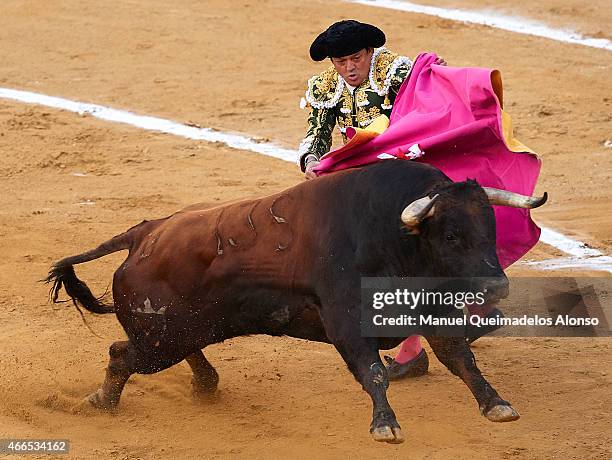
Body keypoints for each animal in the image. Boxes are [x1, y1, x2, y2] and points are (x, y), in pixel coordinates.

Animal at [46, 161, 544, 442]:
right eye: (452, 234)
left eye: (492, 228)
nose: (497, 287)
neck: (392, 235)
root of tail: (144, 233)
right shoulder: (346, 322)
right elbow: (374, 372)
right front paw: (385, 426)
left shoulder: (434, 313)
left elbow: (461, 359)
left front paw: (496, 405)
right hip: (159, 339)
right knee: (121, 354)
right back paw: (100, 402)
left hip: (179, 329)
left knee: (170, 350)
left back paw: (204, 384)